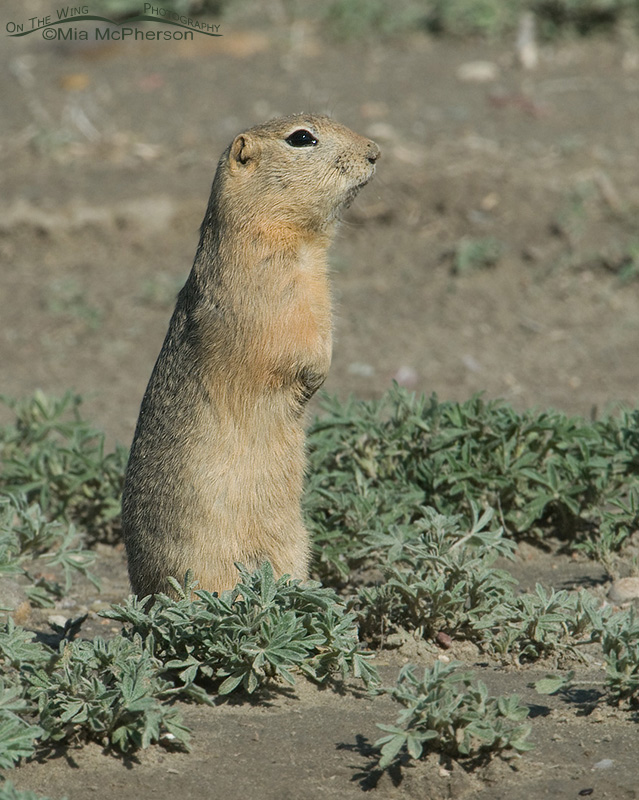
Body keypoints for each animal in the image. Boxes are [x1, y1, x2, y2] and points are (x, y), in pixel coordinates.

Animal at [122, 115, 378, 596]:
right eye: (301, 138)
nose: (375, 151)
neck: (300, 243)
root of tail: (142, 594)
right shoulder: (274, 301)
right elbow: (292, 350)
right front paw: (313, 380)